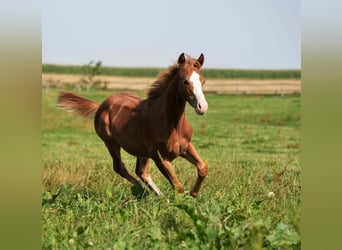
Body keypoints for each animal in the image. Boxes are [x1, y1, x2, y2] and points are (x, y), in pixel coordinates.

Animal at [57, 52, 208, 197]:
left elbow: (202, 168)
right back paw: (145, 190)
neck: (172, 124)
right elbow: (178, 186)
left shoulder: (186, 147)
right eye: (185, 81)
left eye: (203, 80)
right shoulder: (158, 155)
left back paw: (155, 194)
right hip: (112, 144)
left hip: (141, 150)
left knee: (141, 171)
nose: (202, 107)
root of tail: (101, 105)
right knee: (120, 168)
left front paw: (193, 193)